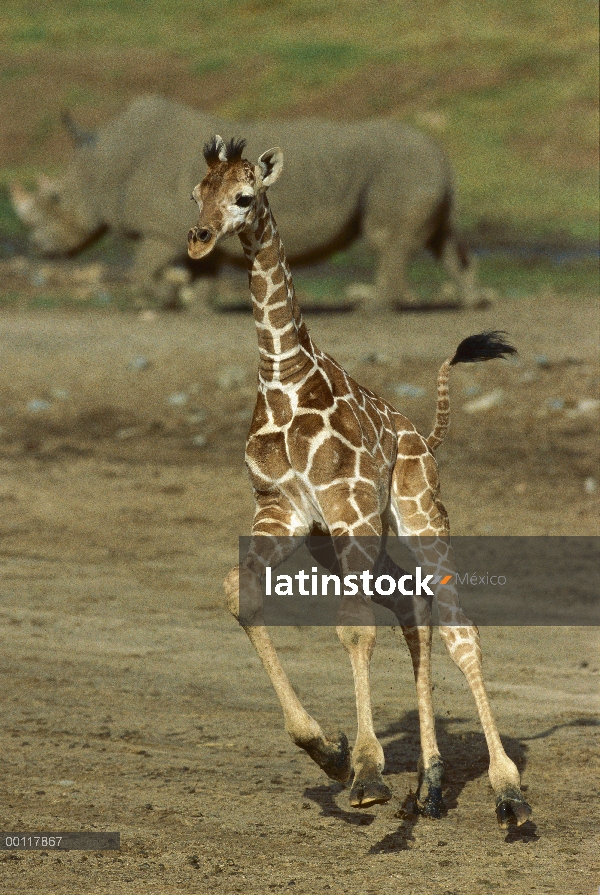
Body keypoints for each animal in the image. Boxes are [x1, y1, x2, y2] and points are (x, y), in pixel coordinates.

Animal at [189, 136, 536, 828]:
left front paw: (368, 771)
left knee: (459, 630)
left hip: (420, 515)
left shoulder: (346, 508)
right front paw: (326, 750)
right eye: (195, 194)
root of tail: (424, 436)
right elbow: (239, 595)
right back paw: (430, 784)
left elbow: (353, 626)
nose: (199, 238)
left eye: (244, 196)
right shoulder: (284, 512)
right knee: (411, 608)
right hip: (348, 542)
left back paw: (507, 791)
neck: (283, 377)